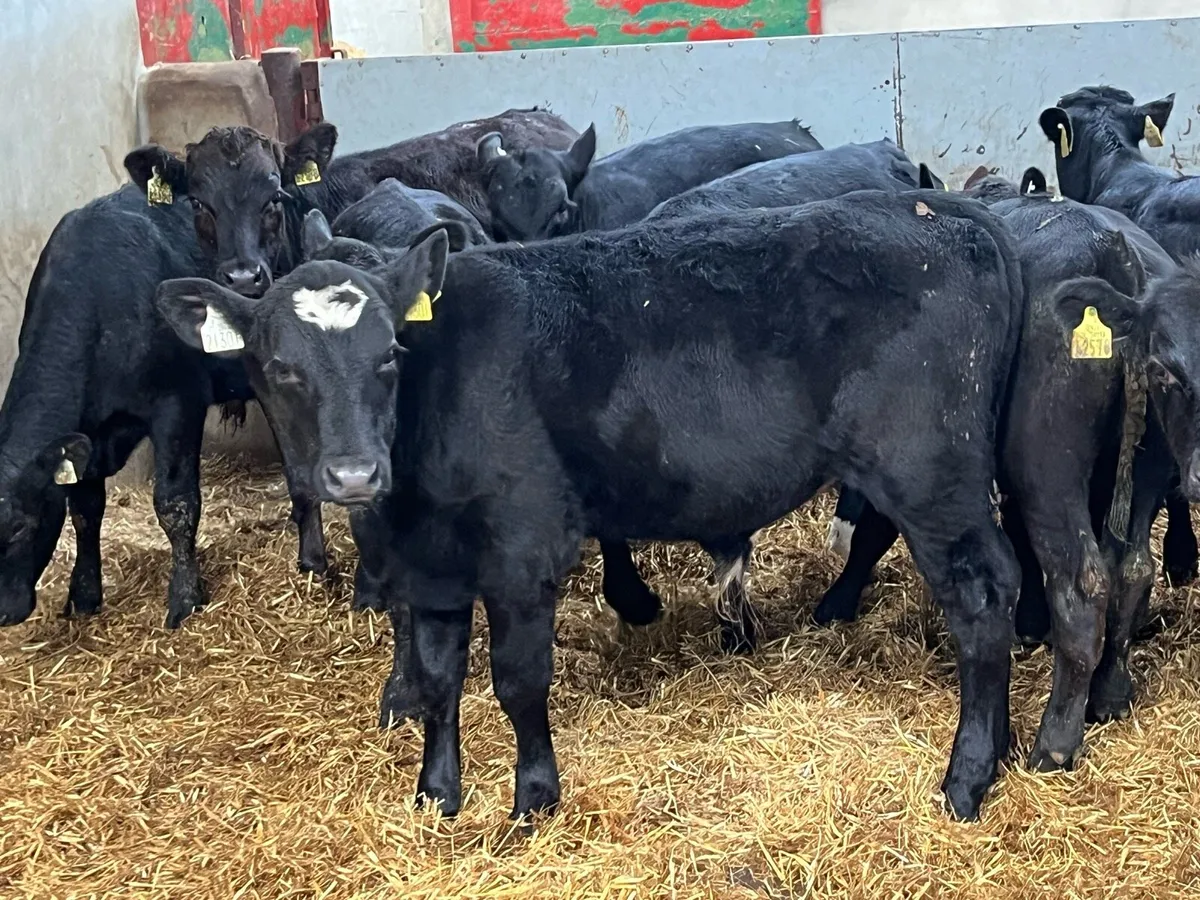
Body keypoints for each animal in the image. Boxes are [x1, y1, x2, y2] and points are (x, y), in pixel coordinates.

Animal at [0, 185, 235, 629]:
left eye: (19, 526)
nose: (2, 612)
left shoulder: (178, 402)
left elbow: (175, 503)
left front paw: (185, 599)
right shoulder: (86, 434)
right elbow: (85, 510)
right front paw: (84, 595)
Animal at [154, 188, 1025, 824]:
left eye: (389, 355)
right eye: (279, 366)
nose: (352, 472)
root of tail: (933, 210)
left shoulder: (521, 545)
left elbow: (516, 680)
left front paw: (534, 798)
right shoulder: (433, 569)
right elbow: (437, 681)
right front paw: (436, 794)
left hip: (929, 476)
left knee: (983, 601)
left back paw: (967, 778)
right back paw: (1003, 752)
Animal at [814, 170, 1182, 770]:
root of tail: (1111, 249)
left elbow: (874, 530)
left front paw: (837, 600)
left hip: (1046, 468)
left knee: (1083, 583)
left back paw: (1055, 741)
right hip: (1146, 463)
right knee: (1131, 568)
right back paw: (1109, 693)